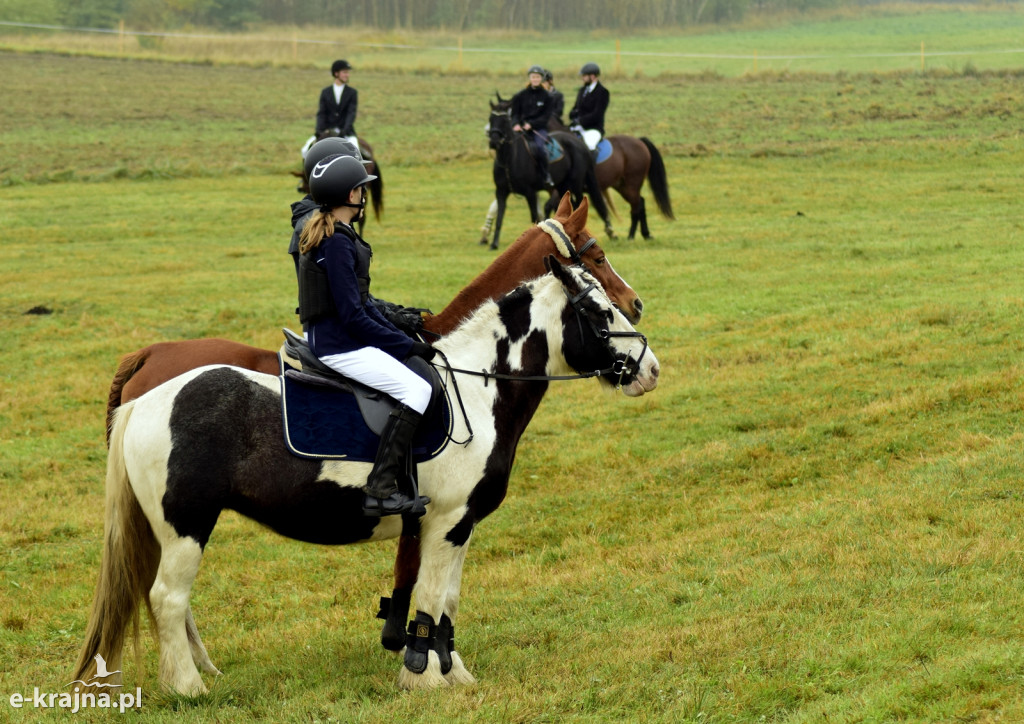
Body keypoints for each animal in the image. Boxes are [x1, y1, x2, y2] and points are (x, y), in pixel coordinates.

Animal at [75, 258, 659, 692]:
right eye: (599, 310)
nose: (650, 369)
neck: (476, 387)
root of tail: (147, 399)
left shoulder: (459, 526)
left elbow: (447, 601)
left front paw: (454, 674)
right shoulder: (446, 523)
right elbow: (430, 600)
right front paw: (424, 679)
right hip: (187, 526)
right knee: (167, 599)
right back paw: (189, 688)